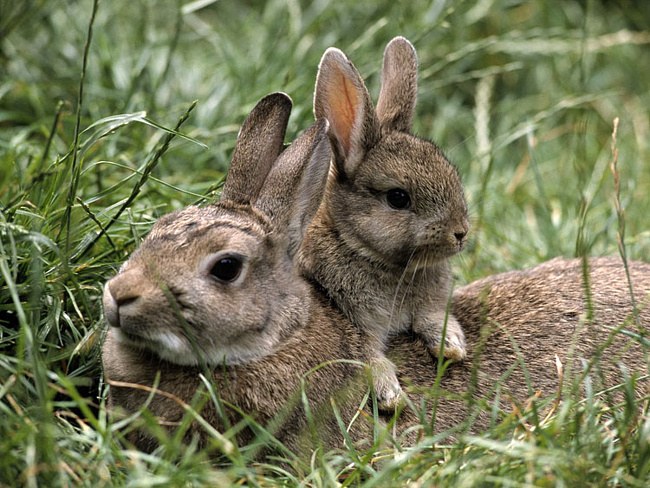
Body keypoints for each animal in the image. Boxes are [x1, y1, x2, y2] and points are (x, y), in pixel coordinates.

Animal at [296, 36, 468, 410]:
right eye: (398, 198)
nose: (460, 233)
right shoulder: (352, 320)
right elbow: (367, 354)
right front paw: (391, 395)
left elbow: (432, 316)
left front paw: (451, 345)